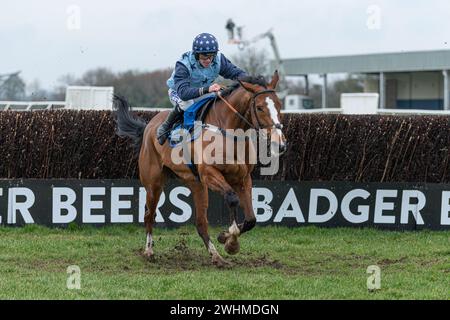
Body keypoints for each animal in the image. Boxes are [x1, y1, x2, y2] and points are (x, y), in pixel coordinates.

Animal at [114, 70, 286, 268]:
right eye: (259, 107)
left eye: (279, 105)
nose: (280, 144)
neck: (228, 131)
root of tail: (148, 126)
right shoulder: (209, 174)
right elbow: (232, 199)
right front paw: (231, 240)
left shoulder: (242, 178)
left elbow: (251, 220)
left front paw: (226, 238)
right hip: (154, 183)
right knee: (149, 215)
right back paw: (149, 251)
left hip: (196, 184)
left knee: (201, 223)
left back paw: (216, 256)